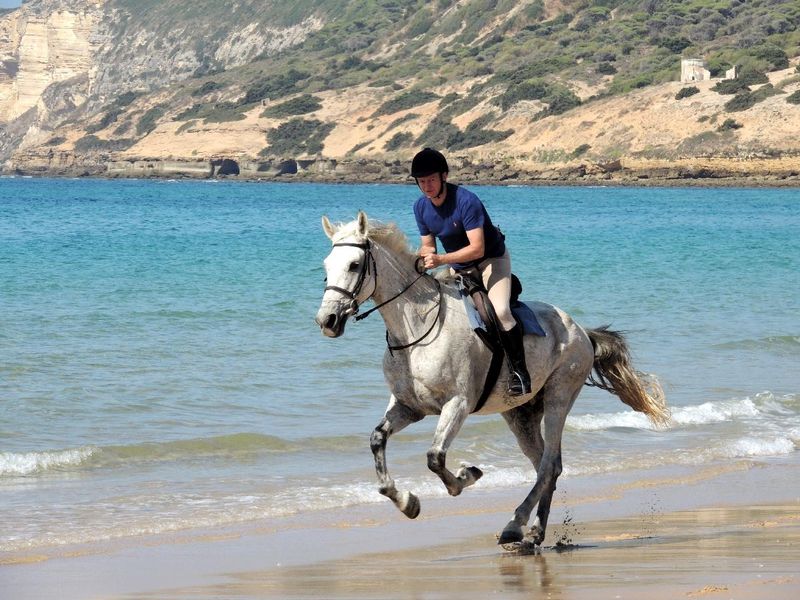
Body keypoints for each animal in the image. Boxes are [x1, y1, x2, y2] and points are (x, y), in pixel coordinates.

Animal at [314, 212, 668, 548]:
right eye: (326, 267)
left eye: (354, 264)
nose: (327, 321)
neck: (416, 329)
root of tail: (581, 330)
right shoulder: (408, 407)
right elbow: (378, 440)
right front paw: (407, 502)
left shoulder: (457, 404)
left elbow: (435, 458)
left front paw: (466, 476)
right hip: (520, 414)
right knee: (547, 465)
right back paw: (533, 533)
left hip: (559, 396)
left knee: (548, 464)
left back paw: (515, 525)